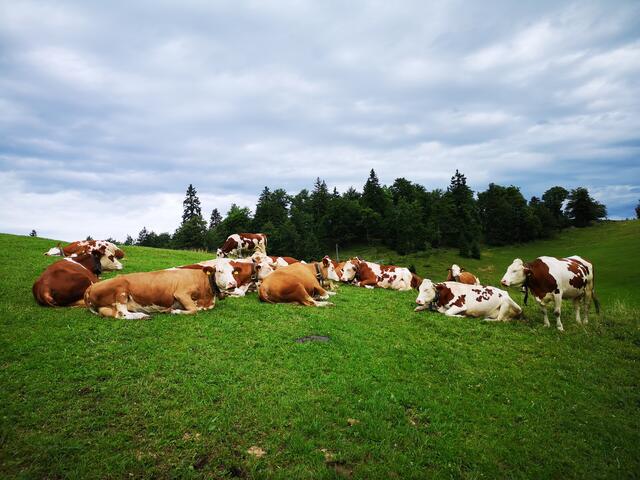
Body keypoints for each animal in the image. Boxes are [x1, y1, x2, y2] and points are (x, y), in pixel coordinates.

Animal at [84, 267, 221, 319]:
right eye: (219, 271)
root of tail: (90, 287)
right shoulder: (181, 293)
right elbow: (193, 310)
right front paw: (175, 311)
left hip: (106, 307)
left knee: (116, 314)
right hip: (120, 291)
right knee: (122, 313)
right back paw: (143, 315)